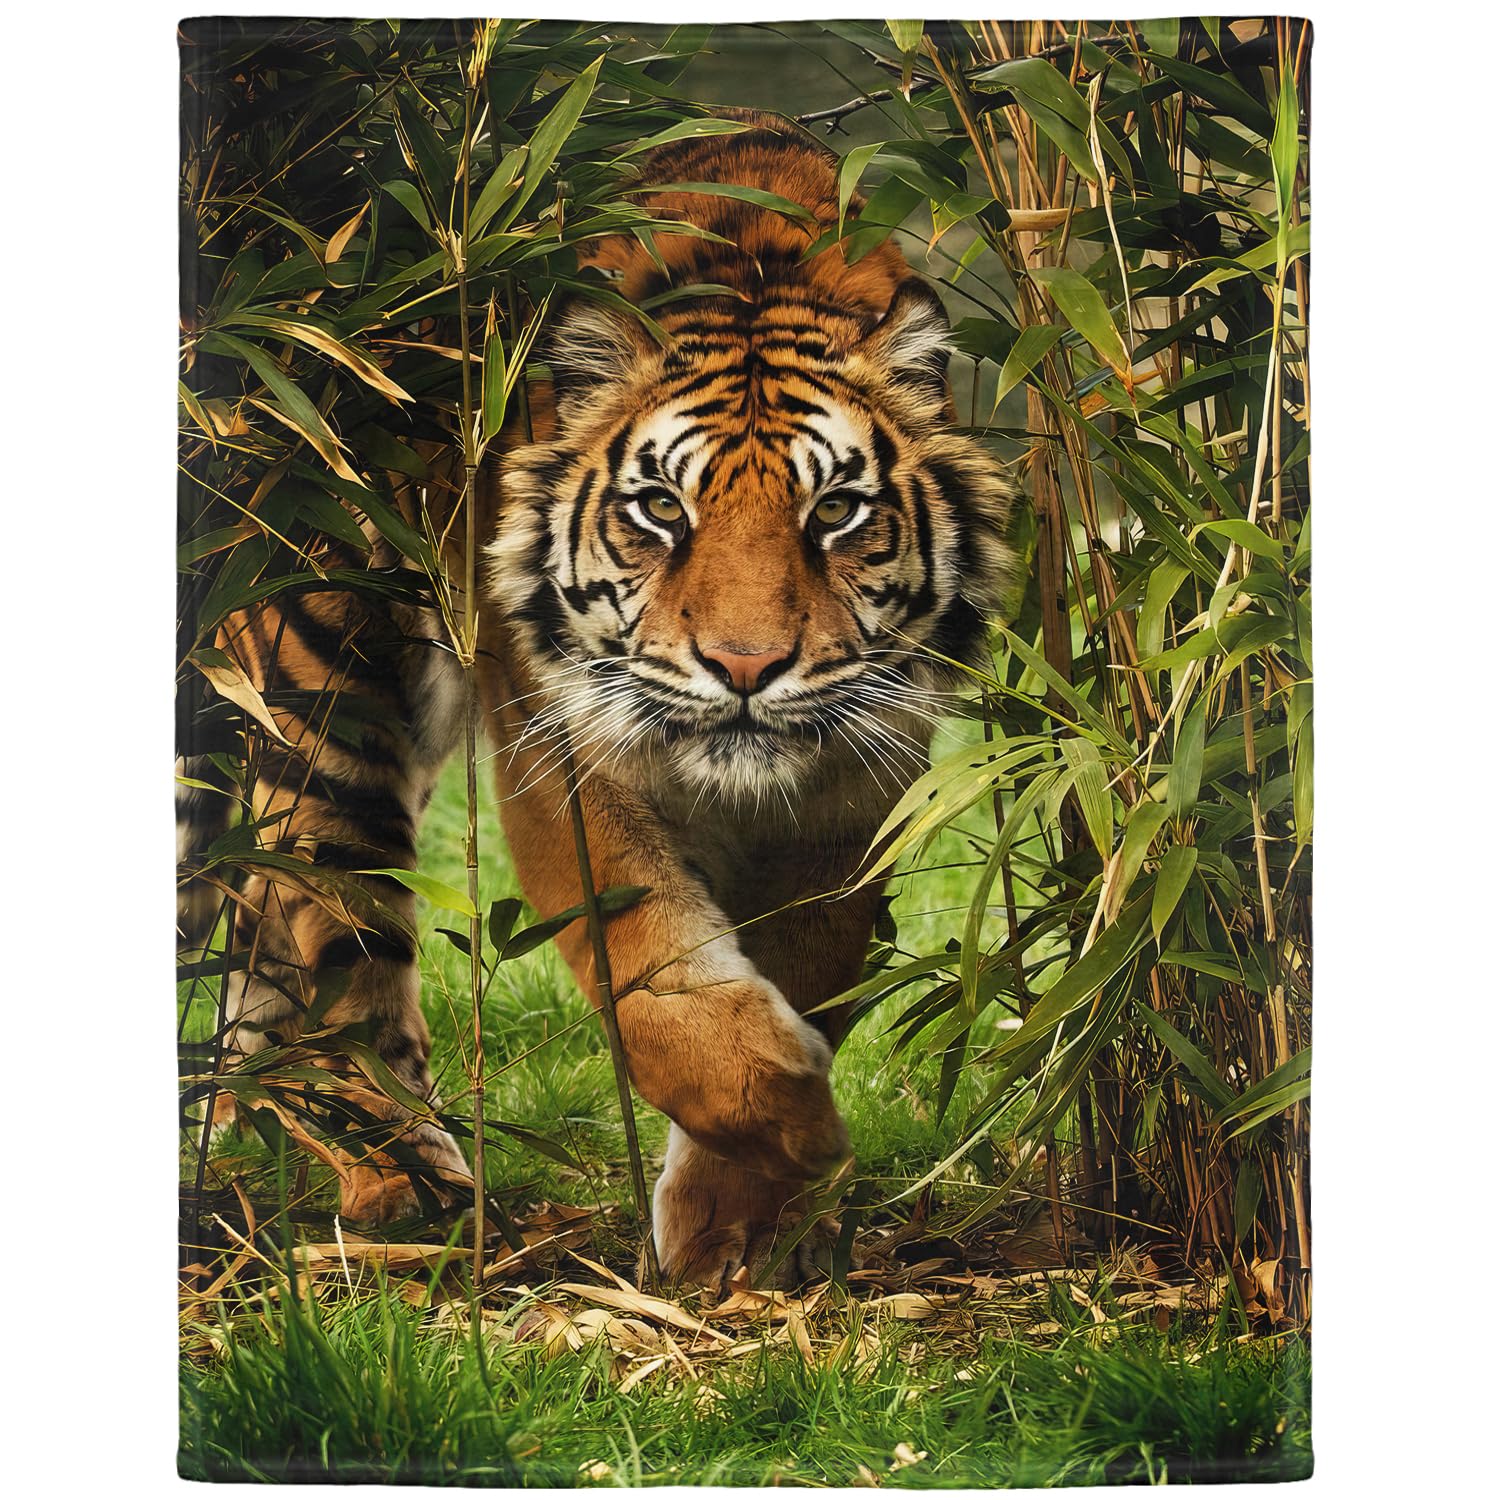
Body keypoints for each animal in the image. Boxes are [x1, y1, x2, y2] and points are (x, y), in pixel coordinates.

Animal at [183, 109, 1016, 1289]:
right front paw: (796, 1128)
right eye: (660, 509)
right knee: (331, 949)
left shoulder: (857, 783)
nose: (746, 667)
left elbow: (806, 962)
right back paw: (409, 1194)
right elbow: (653, 975)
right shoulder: (564, 754)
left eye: (837, 513)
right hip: (324, 698)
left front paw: (737, 1228)